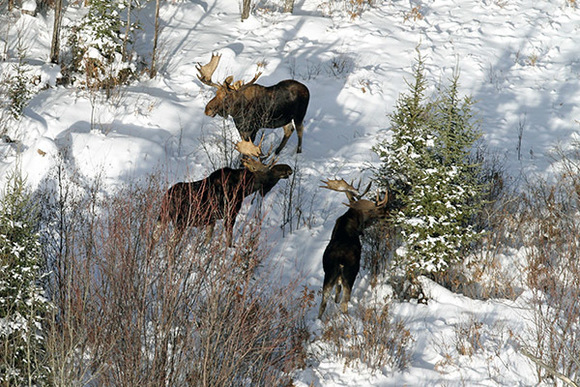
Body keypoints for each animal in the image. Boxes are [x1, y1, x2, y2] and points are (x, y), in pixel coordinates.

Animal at [156, 139, 292, 247]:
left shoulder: (211, 220)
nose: (288, 169)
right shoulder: (230, 212)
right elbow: (229, 239)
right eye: (269, 171)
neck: (243, 189)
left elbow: (207, 240)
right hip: (180, 221)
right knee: (170, 244)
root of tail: (166, 198)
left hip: (163, 217)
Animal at [318, 180, 390, 320]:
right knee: (344, 302)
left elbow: (336, 292)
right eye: (377, 211)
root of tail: (339, 262)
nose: (388, 215)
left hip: (329, 275)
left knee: (323, 303)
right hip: (350, 274)